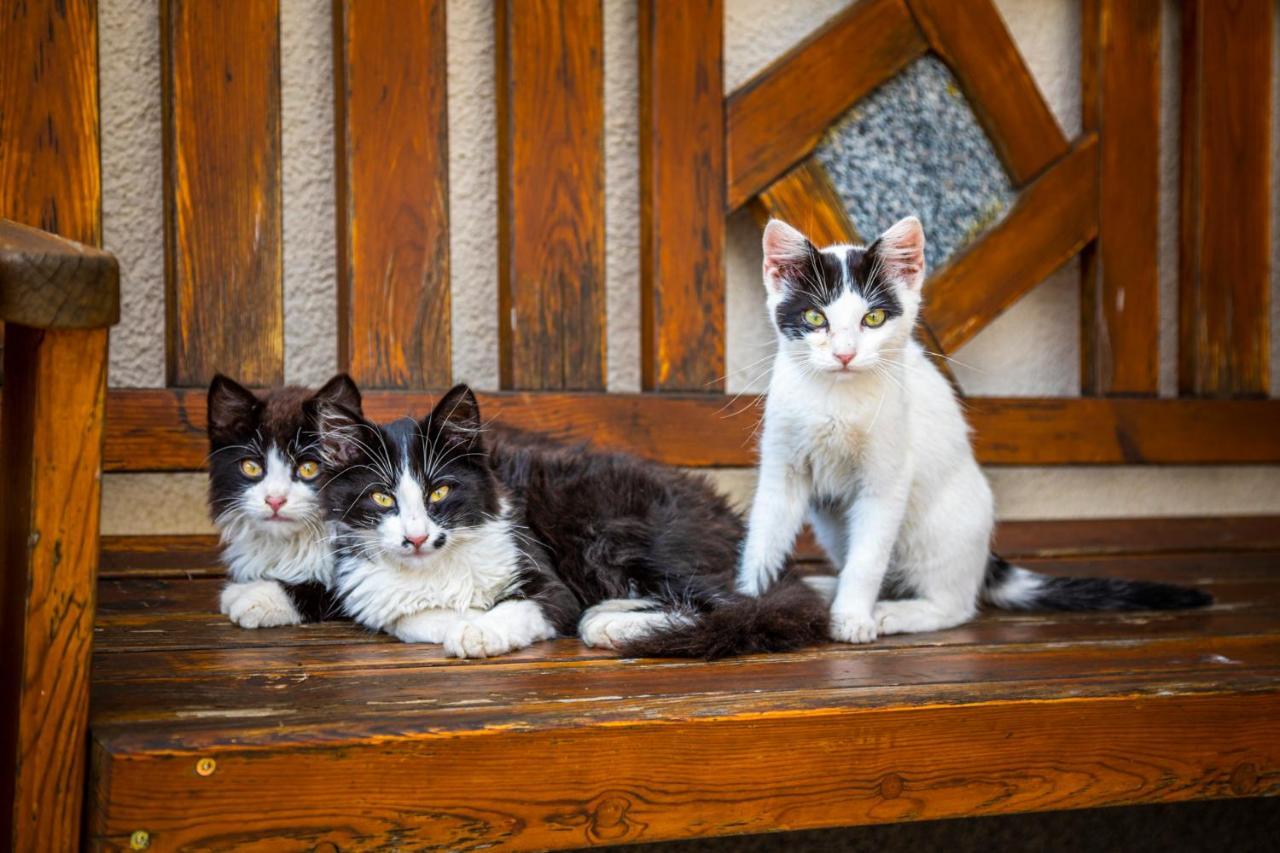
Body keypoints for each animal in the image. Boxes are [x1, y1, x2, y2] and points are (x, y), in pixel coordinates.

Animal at [314, 384, 824, 655]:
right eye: (381, 498)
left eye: (439, 491)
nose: (416, 538)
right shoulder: (368, 589)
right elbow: (409, 616)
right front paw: (463, 619)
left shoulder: (538, 566)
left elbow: (533, 605)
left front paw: (482, 629)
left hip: (612, 525)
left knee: (735, 606)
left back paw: (610, 624)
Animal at [742, 216, 1208, 640]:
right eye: (813, 317)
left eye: (872, 319)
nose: (844, 354)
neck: (836, 398)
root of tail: (984, 558)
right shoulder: (782, 464)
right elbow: (765, 531)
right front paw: (750, 602)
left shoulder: (887, 476)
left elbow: (869, 556)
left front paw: (854, 617)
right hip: (834, 525)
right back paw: (826, 588)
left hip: (941, 527)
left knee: (956, 606)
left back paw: (895, 612)